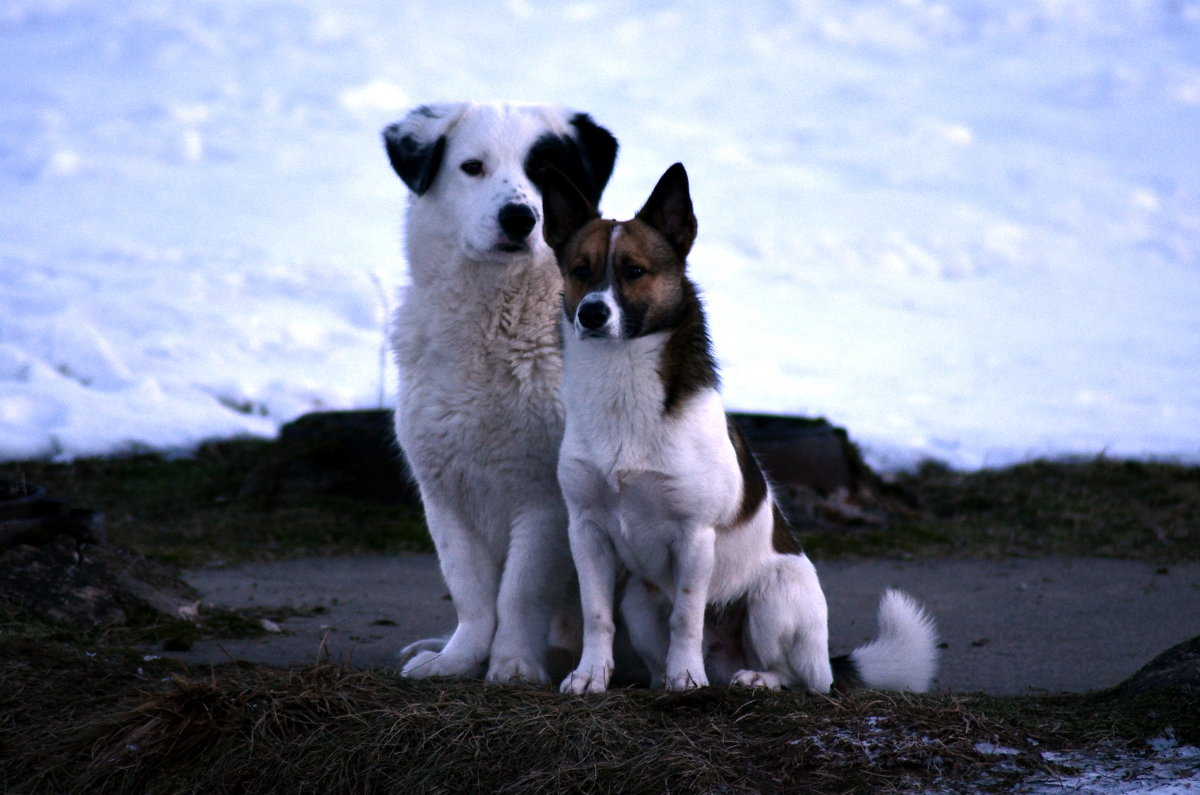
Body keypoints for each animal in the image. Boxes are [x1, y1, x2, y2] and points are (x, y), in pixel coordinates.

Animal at [379, 101, 619, 686]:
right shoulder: (443, 493)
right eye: (472, 168)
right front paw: (457, 659)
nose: (519, 218)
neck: (495, 325)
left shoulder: (546, 499)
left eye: (546, 171)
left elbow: (518, 594)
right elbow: (471, 592)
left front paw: (512, 664)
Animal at [542, 164, 936, 696]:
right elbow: (596, 614)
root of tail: (828, 661)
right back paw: (664, 678)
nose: (591, 313)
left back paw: (752, 678)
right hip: (640, 602)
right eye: (579, 269)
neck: (620, 386)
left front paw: (687, 677)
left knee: (795, 675)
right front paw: (590, 675)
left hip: (774, 598)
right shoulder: (586, 531)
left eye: (634, 270)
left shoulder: (694, 535)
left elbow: (686, 615)